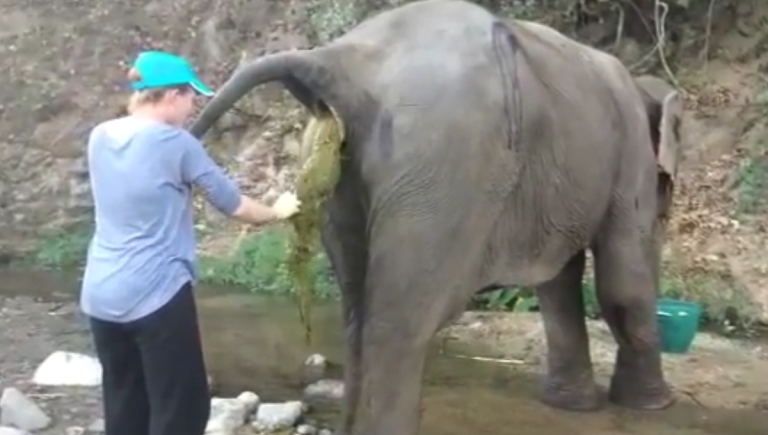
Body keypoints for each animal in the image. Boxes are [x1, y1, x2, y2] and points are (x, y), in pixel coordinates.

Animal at [189, 1, 683, 434]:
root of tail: (338, 62)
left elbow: (558, 281)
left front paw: (575, 406)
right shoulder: (632, 152)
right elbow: (623, 281)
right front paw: (654, 406)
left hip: (341, 161)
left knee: (358, 309)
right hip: (442, 166)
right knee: (403, 322)